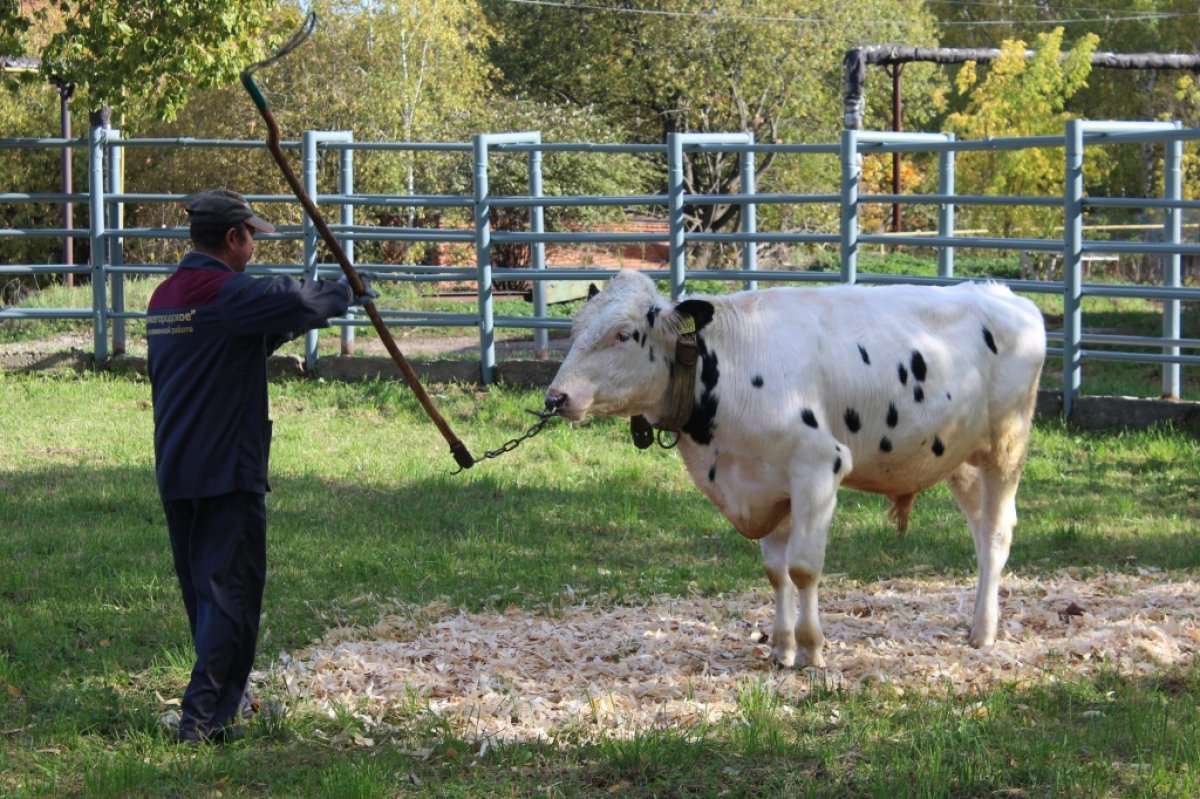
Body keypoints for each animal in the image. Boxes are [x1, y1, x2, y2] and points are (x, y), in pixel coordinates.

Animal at [549, 268, 1046, 667]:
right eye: (576, 327)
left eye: (623, 334)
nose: (556, 396)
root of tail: (1004, 294)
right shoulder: (766, 485)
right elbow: (777, 571)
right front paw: (781, 647)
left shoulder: (818, 467)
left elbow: (804, 567)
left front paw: (811, 649)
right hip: (960, 461)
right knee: (980, 534)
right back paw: (978, 623)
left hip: (1006, 449)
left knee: (997, 534)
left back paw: (984, 633)